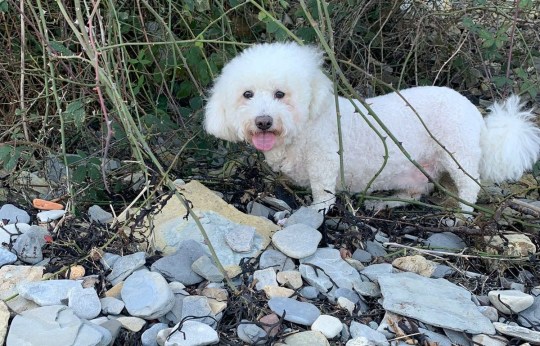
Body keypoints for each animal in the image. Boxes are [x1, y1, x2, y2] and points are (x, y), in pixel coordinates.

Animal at [205, 42, 540, 215]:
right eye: (247, 94)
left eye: (280, 94)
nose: (263, 121)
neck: (305, 126)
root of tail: (476, 114)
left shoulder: (325, 165)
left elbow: (323, 196)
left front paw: (314, 216)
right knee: (418, 190)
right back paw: (390, 201)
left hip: (459, 155)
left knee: (470, 187)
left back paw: (461, 215)